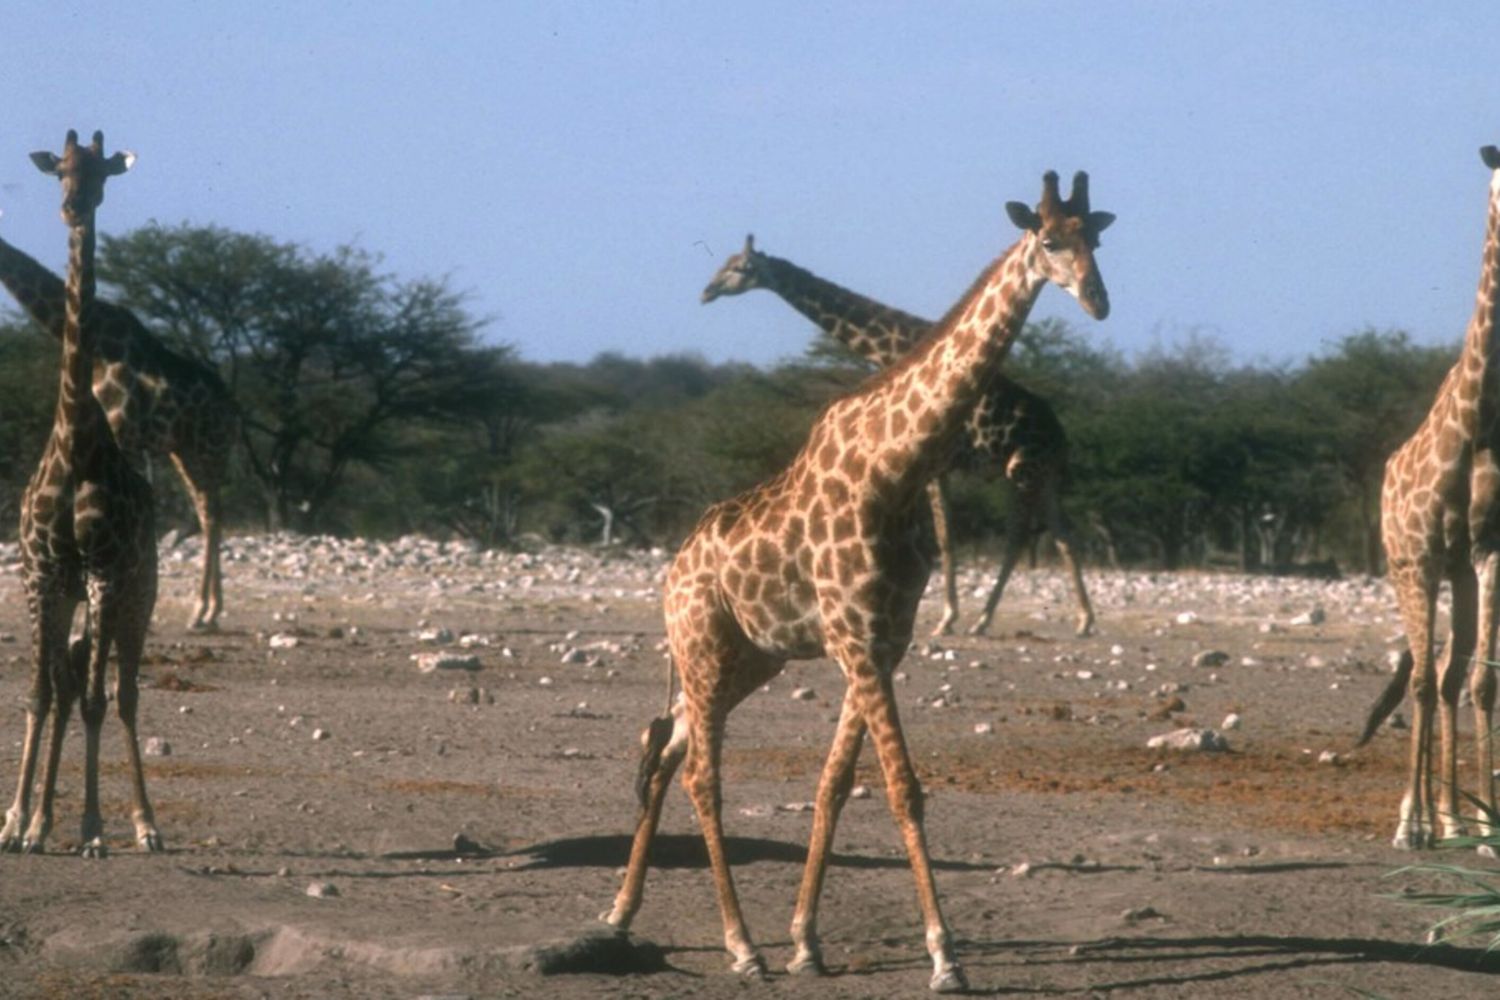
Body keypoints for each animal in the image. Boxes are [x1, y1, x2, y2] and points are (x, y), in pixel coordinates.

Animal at [0, 225, 234, 631]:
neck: (102, 349)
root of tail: (234, 412)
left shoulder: (119, 430)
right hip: (184, 451)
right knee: (207, 512)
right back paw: (204, 610)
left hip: (210, 449)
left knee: (213, 512)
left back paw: (205, 611)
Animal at [702, 235, 1095, 638]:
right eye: (725, 264)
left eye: (740, 268)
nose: (707, 292)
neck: (891, 348)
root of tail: (1061, 437)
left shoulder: (935, 466)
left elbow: (944, 539)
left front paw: (946, 618)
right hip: (1043, 476)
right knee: (1063, 533)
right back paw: (1081, 620)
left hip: (1023, 471)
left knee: (1020, 537)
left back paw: (986, 620)